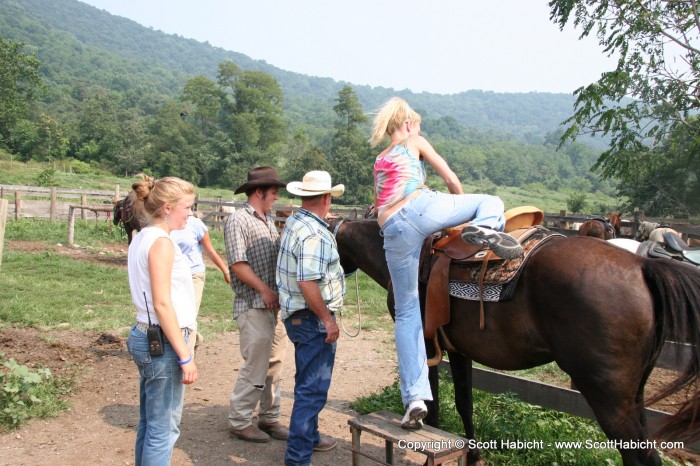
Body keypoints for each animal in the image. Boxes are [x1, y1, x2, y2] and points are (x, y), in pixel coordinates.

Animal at [330, 218, 700, 466]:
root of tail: (642, 267)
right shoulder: (458, 350)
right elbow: (464, 403)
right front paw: (472, 455)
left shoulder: (425, 343)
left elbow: (432, 405)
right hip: (633, 395)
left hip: (608, 397)